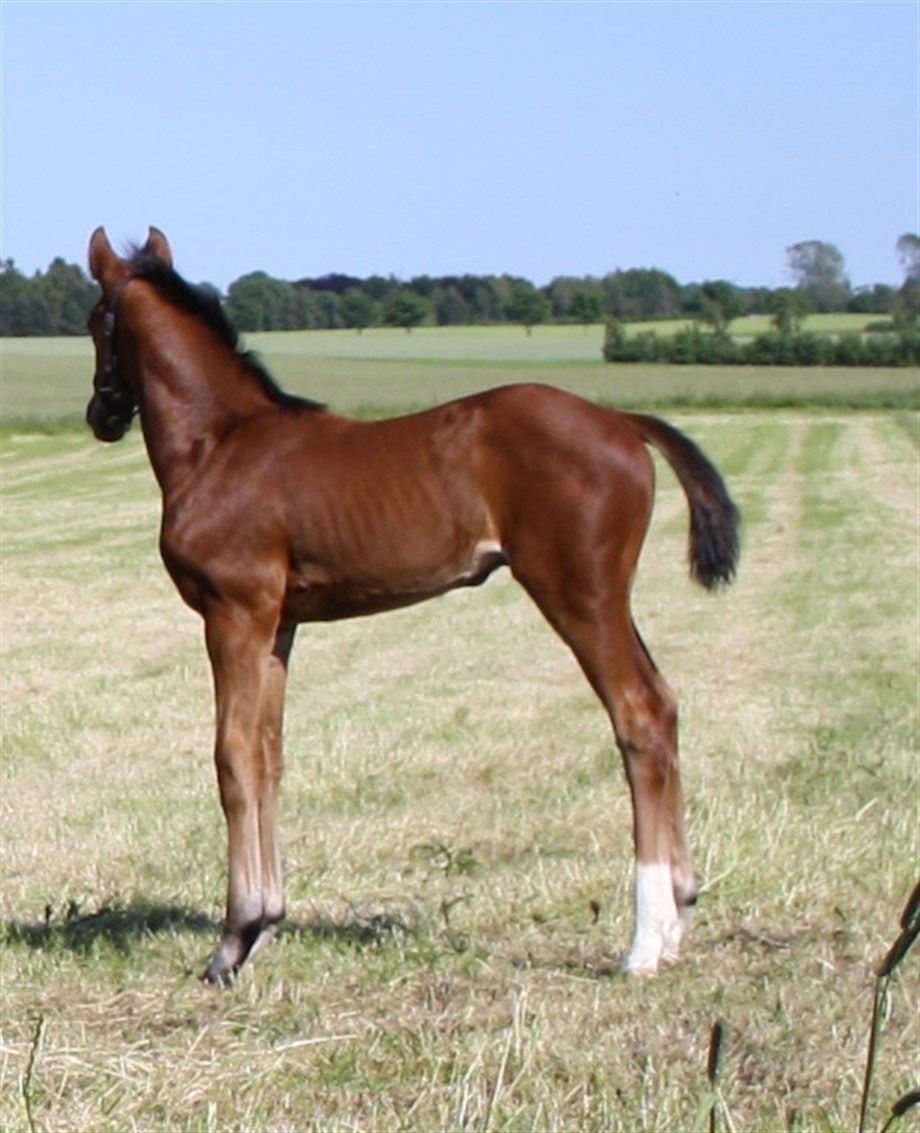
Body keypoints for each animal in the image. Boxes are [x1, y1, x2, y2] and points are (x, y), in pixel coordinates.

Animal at [85, 226, 739, 986]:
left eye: (95, 323)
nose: (99, 417)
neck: (219, 444)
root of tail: (619, 421)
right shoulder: (279, 625)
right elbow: (271, 754)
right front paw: (267, 922)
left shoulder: (233, 614)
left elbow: (233, 756)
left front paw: (233, 940)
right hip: (606, 597)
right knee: (664, 703)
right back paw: (680, 913)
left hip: (579, 593)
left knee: (638, 713)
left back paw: (645, 942)